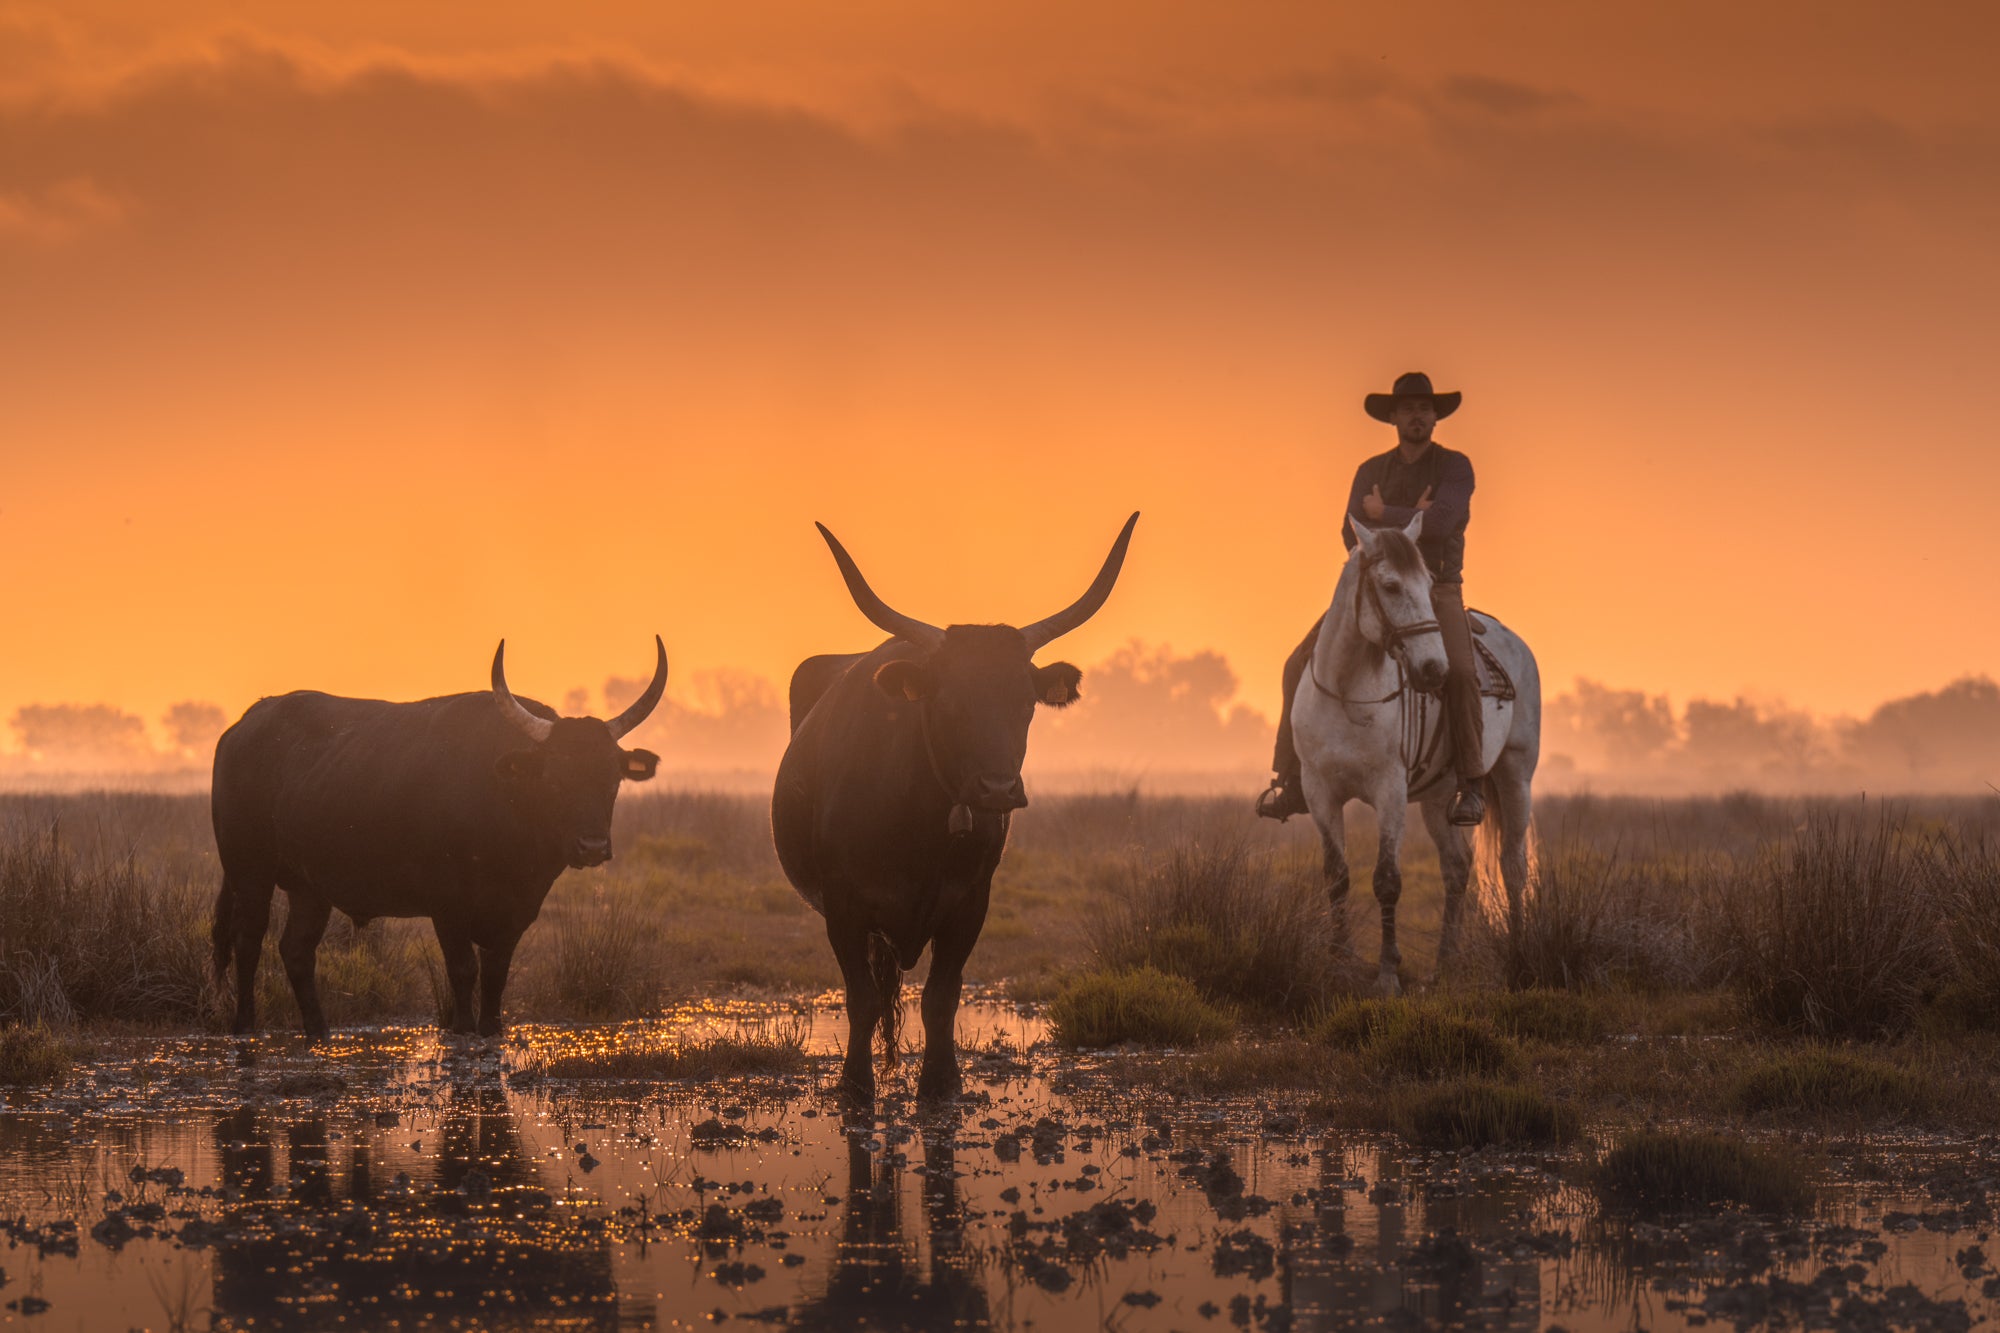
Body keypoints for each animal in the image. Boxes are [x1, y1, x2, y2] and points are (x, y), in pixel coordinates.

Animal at [1290, 512, 1541, 995]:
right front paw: (1339, 960)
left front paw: (1388, 973)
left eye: (1428, 584)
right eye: (1389, 586)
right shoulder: (1319, 791)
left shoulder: (1389, 791)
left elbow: (1387, 879)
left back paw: (1519, 958)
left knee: (1513, 867)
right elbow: (1337, 875)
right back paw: (1444, 963)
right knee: (1457, 867)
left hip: (1515, 774)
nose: (1433, 670)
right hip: (1439, 798)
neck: (1350, 694)